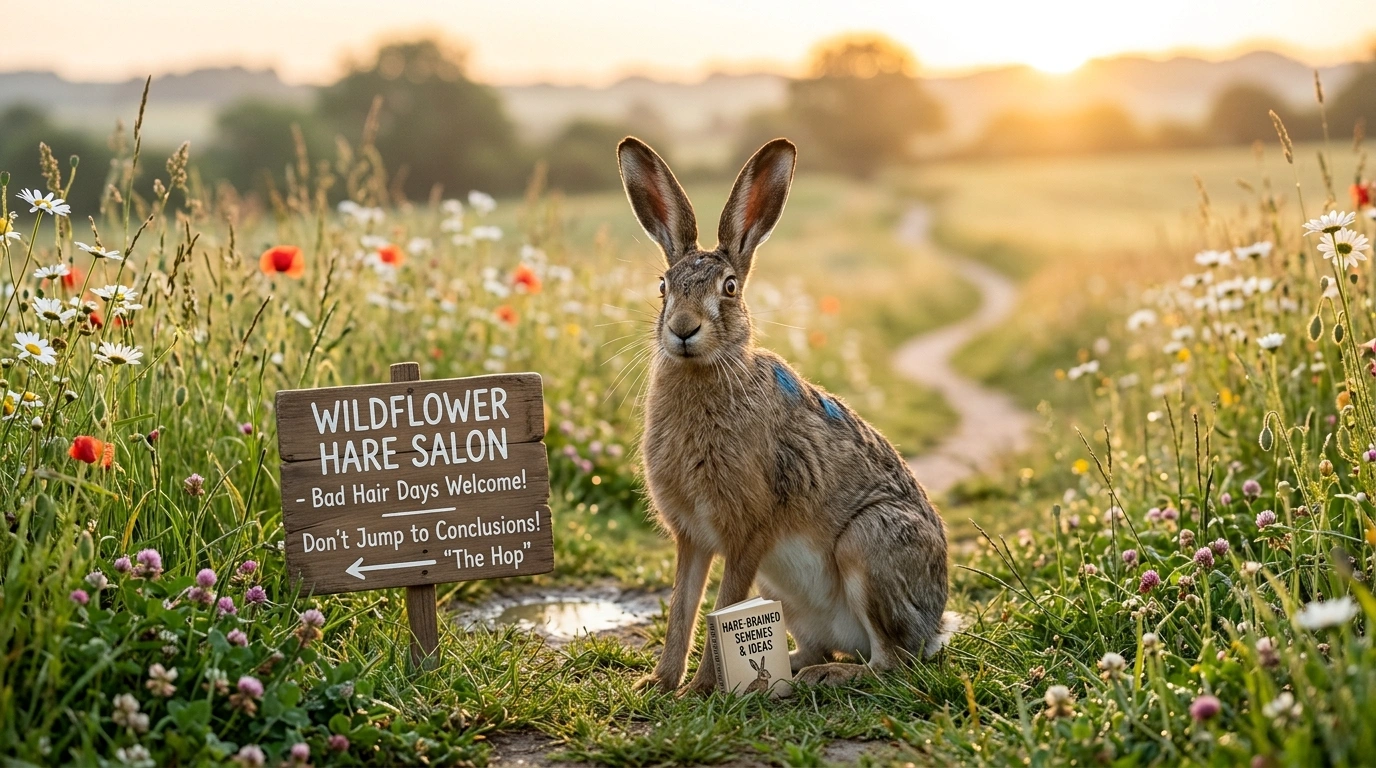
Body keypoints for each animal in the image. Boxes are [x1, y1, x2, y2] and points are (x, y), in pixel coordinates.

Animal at [617, 136, 958, 696]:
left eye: (730, 288)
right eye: (663, 286)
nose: (683, 329)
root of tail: (936, 625)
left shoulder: (747, 532)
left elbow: (720, 607)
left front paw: (700, 690)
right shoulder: (692, 536)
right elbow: (682, 610)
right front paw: (659, 684)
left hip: (872, 543)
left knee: (891, 663)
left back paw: (823, 676)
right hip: (787, 595)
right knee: (821, 646)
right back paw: (785, 674)